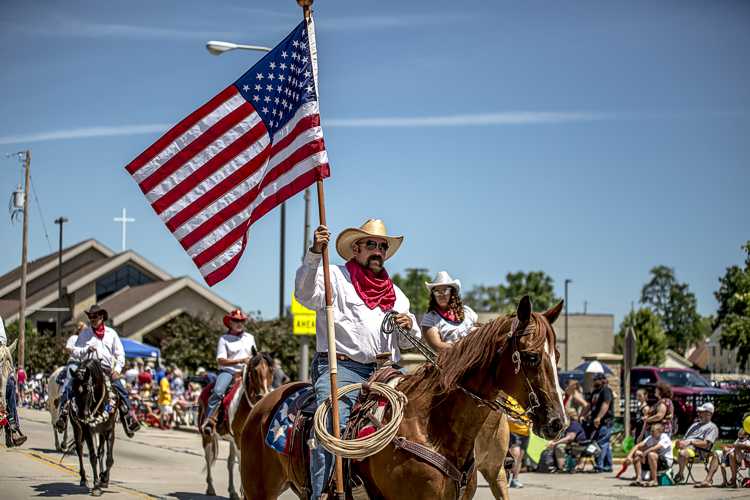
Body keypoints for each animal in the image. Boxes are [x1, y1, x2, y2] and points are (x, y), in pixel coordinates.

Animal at [68, 360, 117, 496]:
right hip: (77, 429)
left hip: (100, 432)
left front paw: (104, 478)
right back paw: (83, 479)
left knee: (101, 451)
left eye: (88, 390)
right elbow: (92, 457)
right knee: (79, 449)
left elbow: (109, 459)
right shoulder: (88, 431)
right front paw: (96, 486)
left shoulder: (109, 430)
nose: (81, 415)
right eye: (73, 390)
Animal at [198, 348, 274, 500]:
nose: (263, 395)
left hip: (232, 441)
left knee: (230, 463)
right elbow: (242, 465)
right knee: (208, 458)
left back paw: (233, 492)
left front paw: (242, 492)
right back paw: (210, 488)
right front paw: (244, 493)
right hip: (207, 436)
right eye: (254, 370)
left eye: (271, 370)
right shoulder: (239, 439)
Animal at [239, 294, 564, 498]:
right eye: (532, 357)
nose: (557, 422)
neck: (432, 425)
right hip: (258, 490)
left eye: (557, 356)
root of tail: (264, 404)